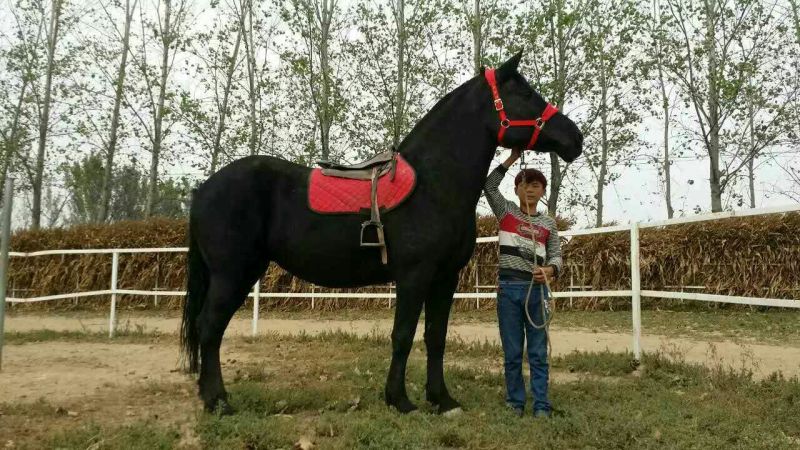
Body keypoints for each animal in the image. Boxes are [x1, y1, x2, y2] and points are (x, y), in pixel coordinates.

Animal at [180, 51, 583, 416]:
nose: (575, 138)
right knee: (209, 327)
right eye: (526, 93)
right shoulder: (414, 276)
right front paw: (400, 400)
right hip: (233, 274)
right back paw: (218, 402)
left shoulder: (445, 278)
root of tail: (205, 188)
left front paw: (442, 400)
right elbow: (402, 336)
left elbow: (435, 337)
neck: (434, 184)